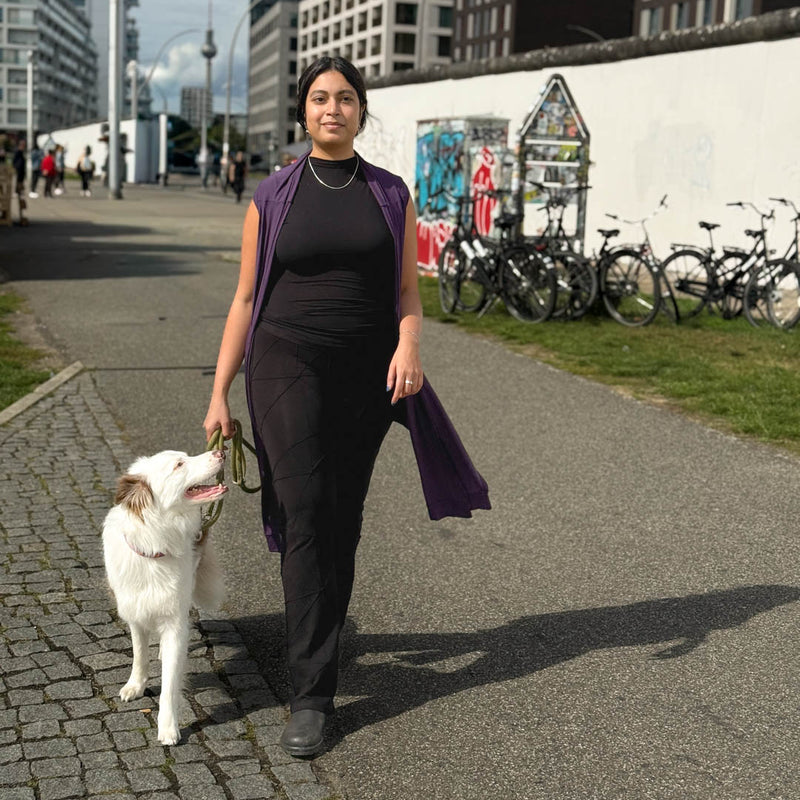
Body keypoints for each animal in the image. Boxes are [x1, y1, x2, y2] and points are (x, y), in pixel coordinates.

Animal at [102, 449, 228, 745]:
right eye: (179, 464)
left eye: (185, 456)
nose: (220, 451)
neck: (155, 543)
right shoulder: (135, 611)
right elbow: (139, 653)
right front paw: (135, 685)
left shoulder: (174, 619)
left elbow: (170, 683)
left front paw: (168, 727)